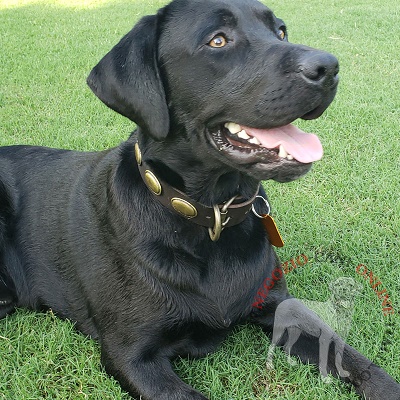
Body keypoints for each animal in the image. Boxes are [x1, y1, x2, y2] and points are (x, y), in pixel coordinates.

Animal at [0, 0, 400, 400]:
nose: (329, 67)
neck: (210, 215)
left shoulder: (278, 305)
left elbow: (349, 355)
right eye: (218, 40)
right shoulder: (131, 355)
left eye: (281, 31)